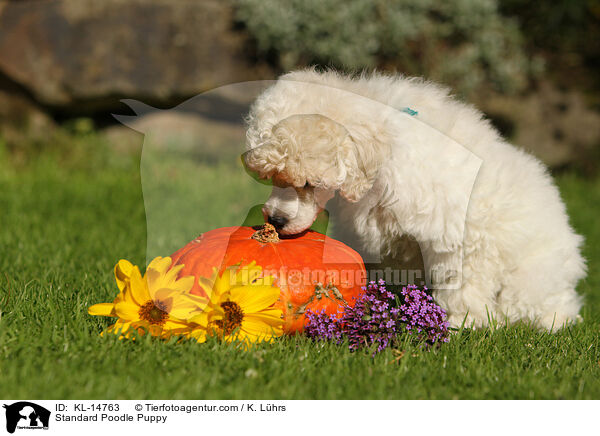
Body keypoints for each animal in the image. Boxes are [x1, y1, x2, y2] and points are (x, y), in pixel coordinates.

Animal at [244, 69, 584, 330]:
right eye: (272, 177)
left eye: (308, 183)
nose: (275, 220)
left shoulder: (457, 233)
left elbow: (462, 283)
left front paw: (464, 322)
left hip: (532, 277)